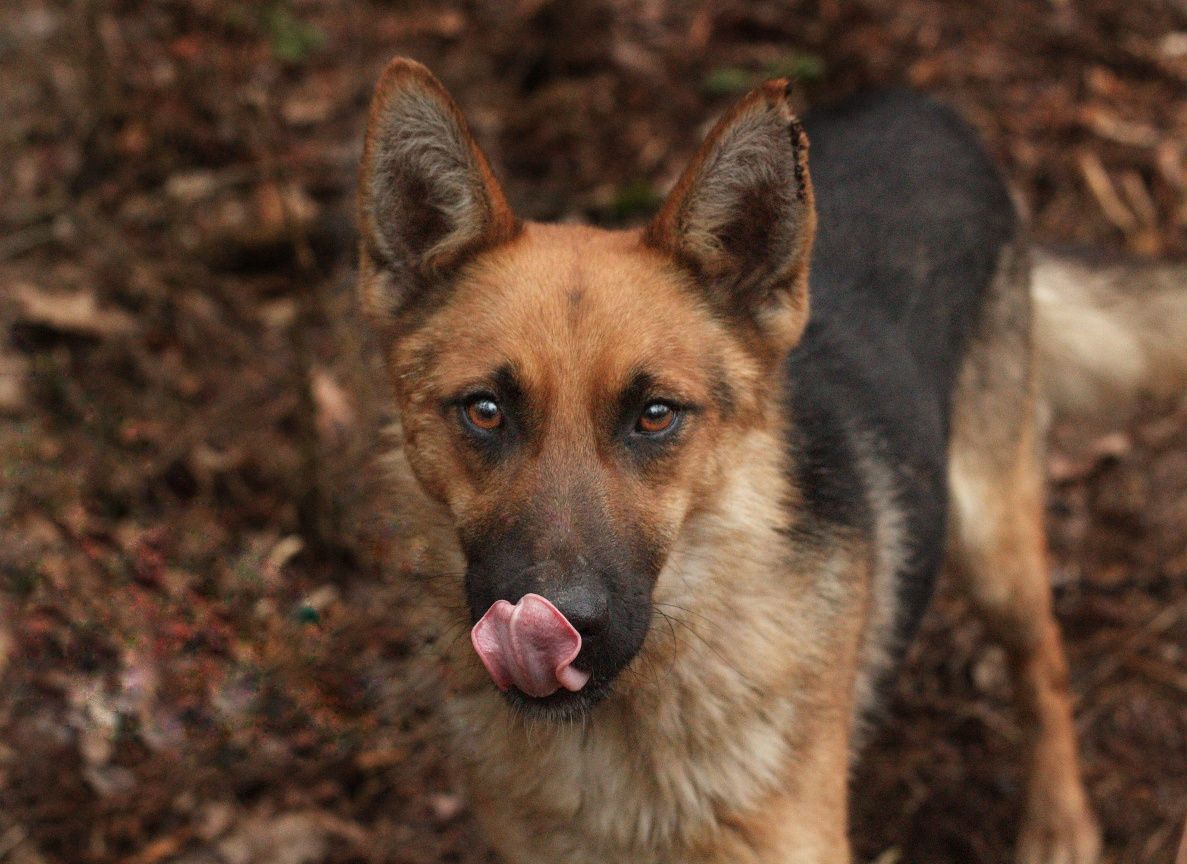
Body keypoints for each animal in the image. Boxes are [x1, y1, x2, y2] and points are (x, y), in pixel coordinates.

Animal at [351, 59, 1187, 864]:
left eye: (654, 415)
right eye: (485, 411)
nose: (559, 622)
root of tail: (928, 109)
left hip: (991, 545)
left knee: (1041, 660)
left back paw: (1058, 822)